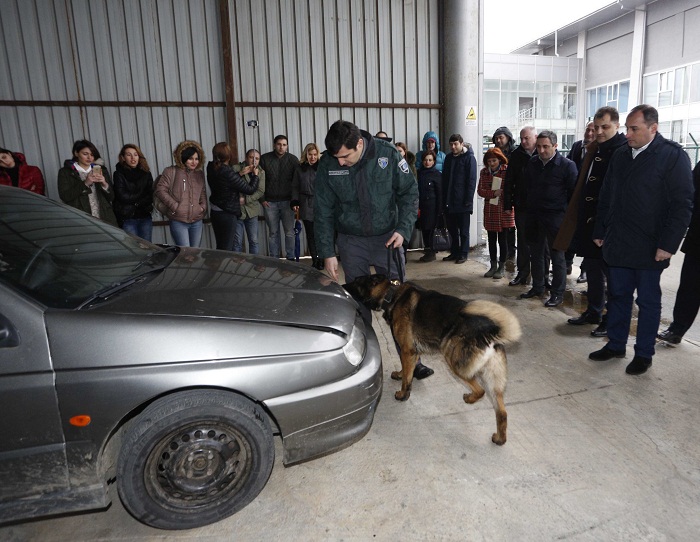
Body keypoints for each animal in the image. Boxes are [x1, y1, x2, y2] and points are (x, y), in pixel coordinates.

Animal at [344, 276, 520, 446]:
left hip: (455, 363)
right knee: (502, 412)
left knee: (480, 391)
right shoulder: (412, 353)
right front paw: (400, 374)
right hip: (493, 381)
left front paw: (403, 394)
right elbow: (406, 369)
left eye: (356, 281)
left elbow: (407, 378)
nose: (343, 286)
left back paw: (470, 399)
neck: (392, 293)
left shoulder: (407, 350)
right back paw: (500, 439)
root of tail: (490, 332)